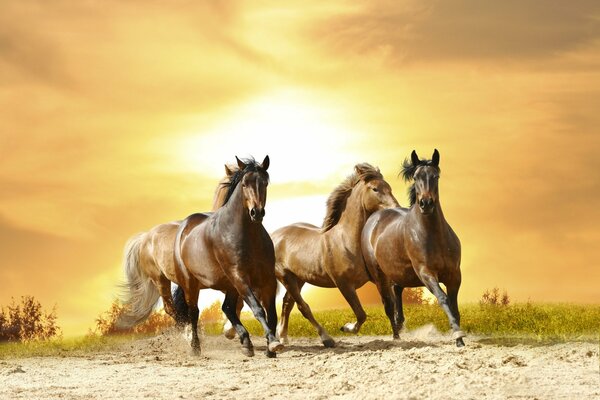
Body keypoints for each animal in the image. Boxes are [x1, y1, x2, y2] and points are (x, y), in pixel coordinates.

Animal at [171, 155, 284, 356]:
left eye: (265, 183)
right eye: (245, 184)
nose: (257, 212)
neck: (247, 235)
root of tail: (184, 227)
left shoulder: (267, 278)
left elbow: (271, 313)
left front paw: (271, 348)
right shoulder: (239, 276)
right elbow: (258, 309)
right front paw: (272, 343)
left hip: (229, 284)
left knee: (227, 308)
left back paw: (246, 343)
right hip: (192, 283)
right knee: (194, 312)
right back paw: (196, 348)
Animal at [272, 162, 398, 346]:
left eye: (389, 187)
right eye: (375, 189)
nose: (396, 209)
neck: (347, 241)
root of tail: (274, 235)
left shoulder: (379, 279)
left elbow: (389, 306)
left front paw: (397, 336)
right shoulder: (344, 284)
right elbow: (361, 314)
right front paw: (346, 327)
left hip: (299, 278)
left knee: (287, 304)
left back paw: (283, 337)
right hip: (286, 277)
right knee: (303, 307)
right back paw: (327, 339)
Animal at [358, 150, 466, 346]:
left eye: (436, 176)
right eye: (416, 177)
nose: (426, 203)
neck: (434, 236)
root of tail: (374, 217)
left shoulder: (454, 275)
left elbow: (454, 306)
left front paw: (459, 339)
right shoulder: (426, 273)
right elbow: (443, 299)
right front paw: (457, 334)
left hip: (399, 273)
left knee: (397, 293)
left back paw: (400, 327)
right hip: (379, 276)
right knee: (388, 305)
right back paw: (396, 336)